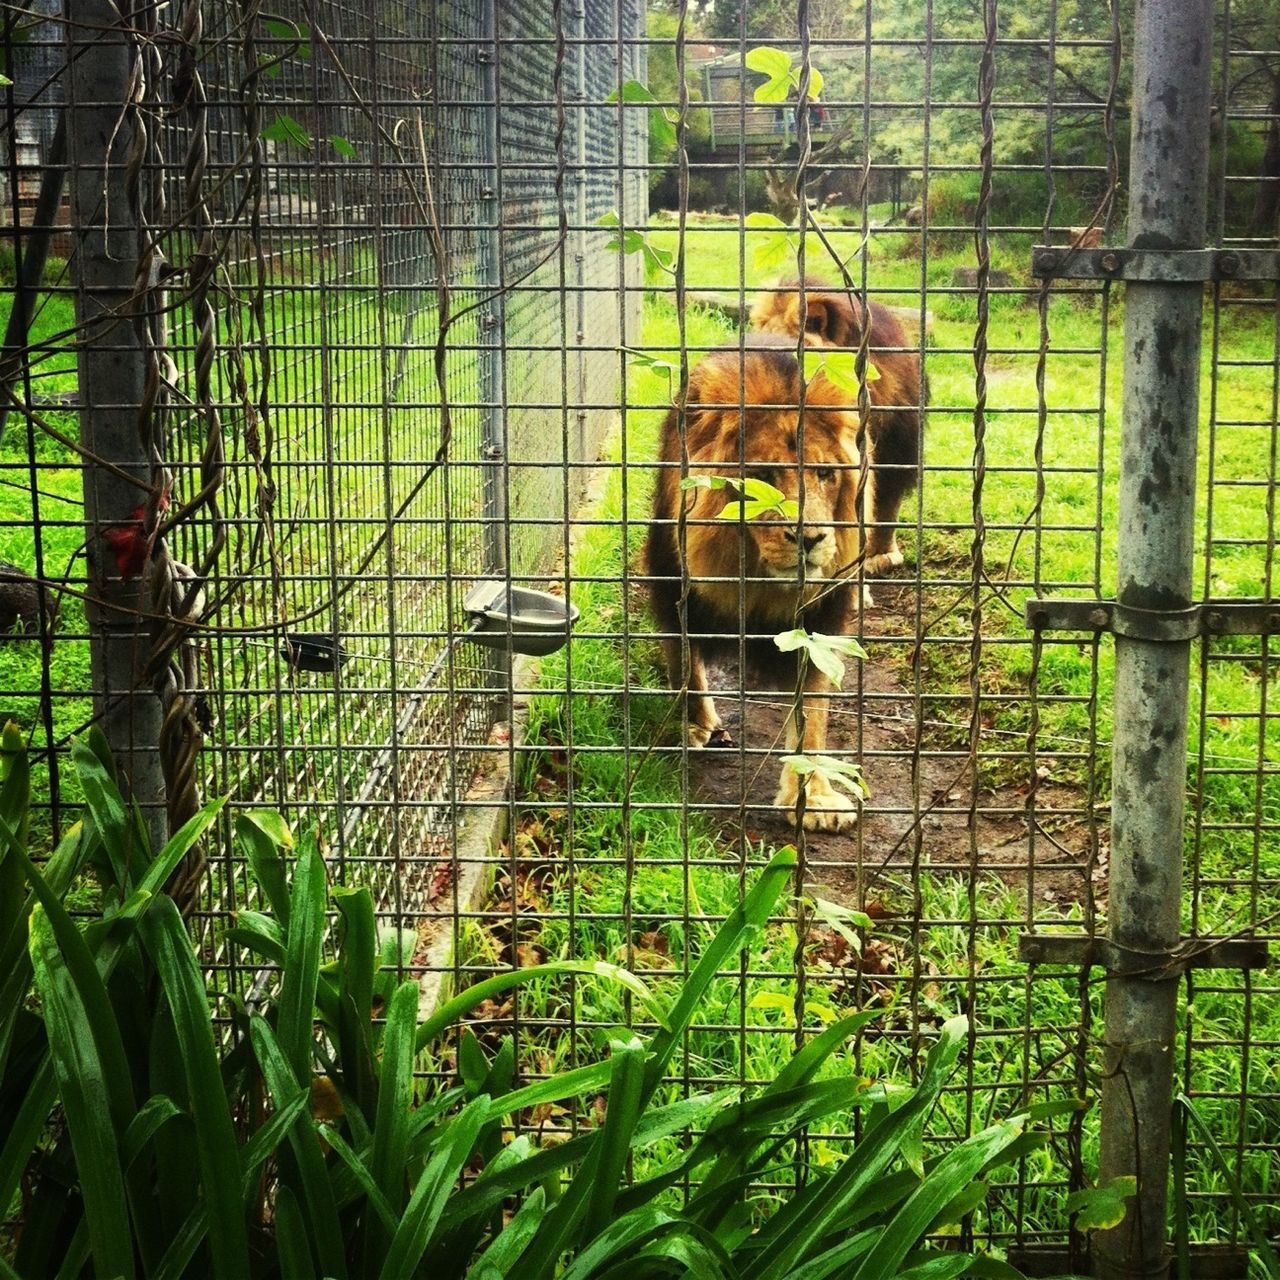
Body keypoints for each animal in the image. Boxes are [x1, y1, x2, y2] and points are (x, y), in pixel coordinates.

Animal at [645, 335, 865, 834]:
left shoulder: (817, 629)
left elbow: (812, 719)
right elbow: (685, 663)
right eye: (763, 476)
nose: (810, 538)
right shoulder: (673, 587)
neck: (760, 585)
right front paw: (695, 727)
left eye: (826, 474)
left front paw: (814, 798)